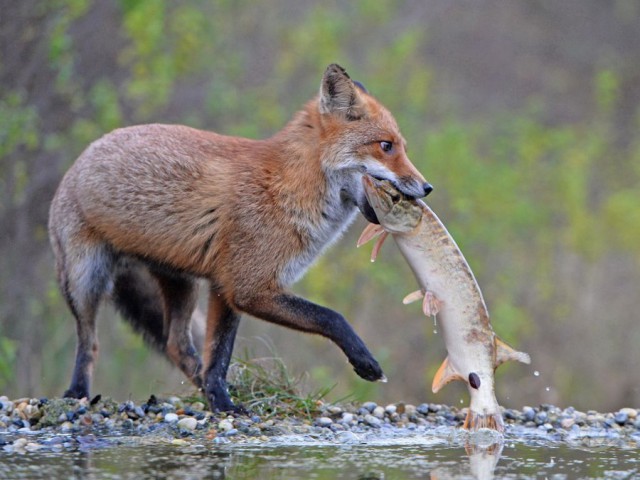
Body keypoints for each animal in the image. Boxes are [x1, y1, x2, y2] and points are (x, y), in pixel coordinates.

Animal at [47, 63, 432, 412]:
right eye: (386, 146)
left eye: (402, 147)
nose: (427, 187)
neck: (290, 188)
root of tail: (85, 153)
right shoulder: (248, 287)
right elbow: (331, 317)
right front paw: (365, 362)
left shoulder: (224, 288)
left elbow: (218, 355)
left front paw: (222, 402)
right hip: (85, 279)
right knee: (89, 341)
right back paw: (76, 392)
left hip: (182, 285)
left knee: (177, 345)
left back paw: (206, 389)